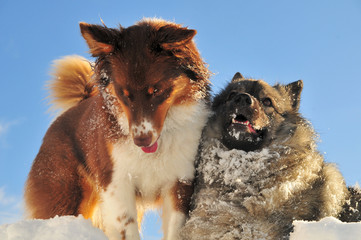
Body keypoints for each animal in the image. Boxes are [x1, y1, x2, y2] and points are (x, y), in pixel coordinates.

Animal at [25, 18, 210, 240]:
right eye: (124, 93)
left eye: (156, 90)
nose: (141, 140)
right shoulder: (117, 183)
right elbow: (126, 229)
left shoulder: (180, 182)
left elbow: (175, 230)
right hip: (64, 199)